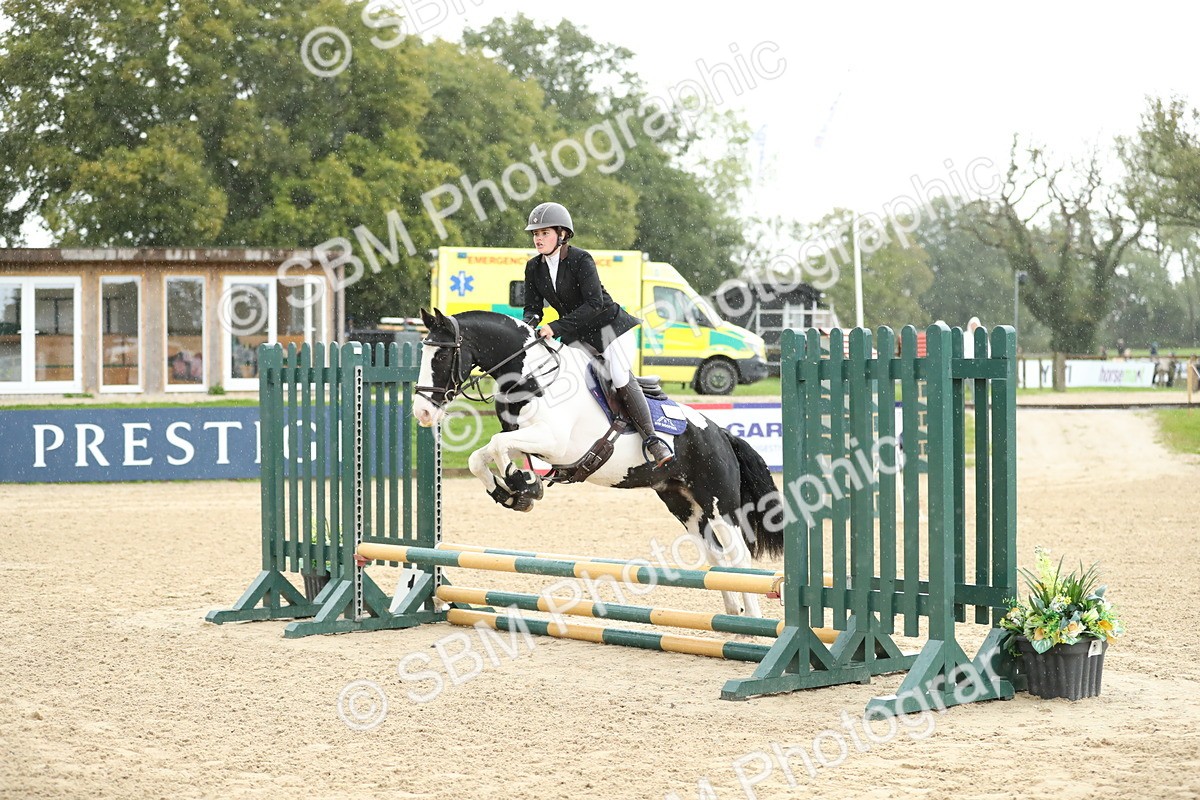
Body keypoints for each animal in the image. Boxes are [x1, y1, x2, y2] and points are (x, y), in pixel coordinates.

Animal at [412, 308, 783, 617]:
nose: (423, 413)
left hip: (719, 503)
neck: (532, 377)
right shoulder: (528, 438)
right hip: (685, 506)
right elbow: (480, 456)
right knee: (716, 556)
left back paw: (751, 622)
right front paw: (510, 491)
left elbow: (499, 446)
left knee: (739, 557)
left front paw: (524, 486)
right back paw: (732, 616)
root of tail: (721, 433)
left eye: (442, 354)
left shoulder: (553, 440)